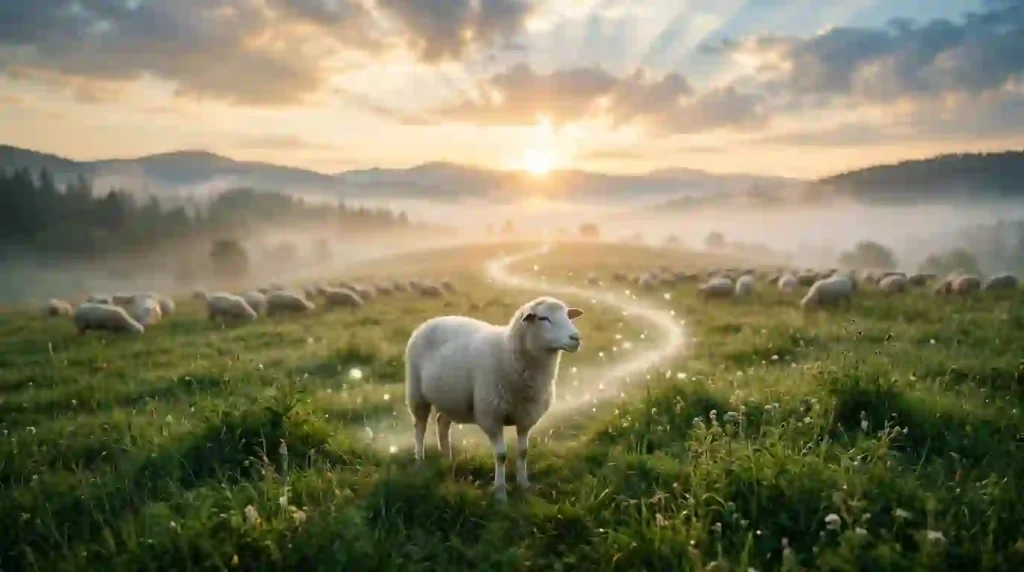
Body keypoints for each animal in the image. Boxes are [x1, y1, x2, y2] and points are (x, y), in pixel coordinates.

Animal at [405, 296, 584, 500]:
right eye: (543, 318)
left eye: (568, 315)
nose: (576, 338)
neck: (508, 353)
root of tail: (432, 320)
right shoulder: (491, 416)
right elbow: (501, 455)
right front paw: (500, 493)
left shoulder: (526, 417)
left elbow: (523, 452)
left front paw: (524, 485)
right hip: (417, 394)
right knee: (420, 427)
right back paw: (420, 462)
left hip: (450, 398)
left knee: (442, 422)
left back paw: (447, 458)